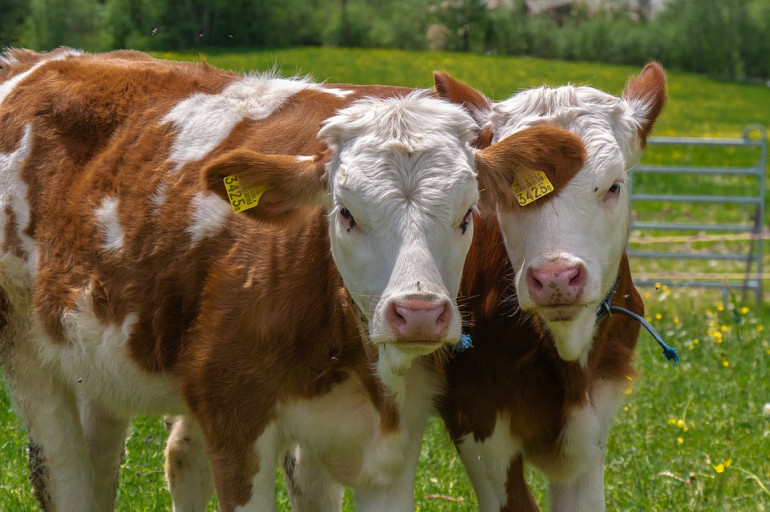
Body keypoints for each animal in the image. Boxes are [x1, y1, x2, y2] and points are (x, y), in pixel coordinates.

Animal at [0, 48, 586, 511]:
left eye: (468, 214)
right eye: (345, 212)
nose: (418, 313)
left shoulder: (393, 445)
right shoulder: (234, 419)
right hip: (28, 351)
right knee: (61, 471)